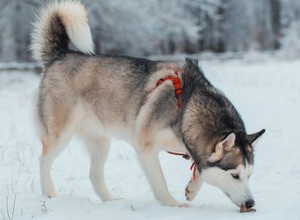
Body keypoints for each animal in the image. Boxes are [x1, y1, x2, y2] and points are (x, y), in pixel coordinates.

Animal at [30, 0, 264, 209]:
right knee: (43, 160)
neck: (185, 109)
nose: (251, 203)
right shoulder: (146, 147)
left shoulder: (194, 148)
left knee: (94, 174)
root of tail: (60, 54)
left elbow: (199, 169)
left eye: (250, 175)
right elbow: (160, 181)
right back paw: (49, 193)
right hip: (60, 135)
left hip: (101, 140)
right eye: (235, 175)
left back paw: (111, 201)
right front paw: (172, 204)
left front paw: (191, 189)